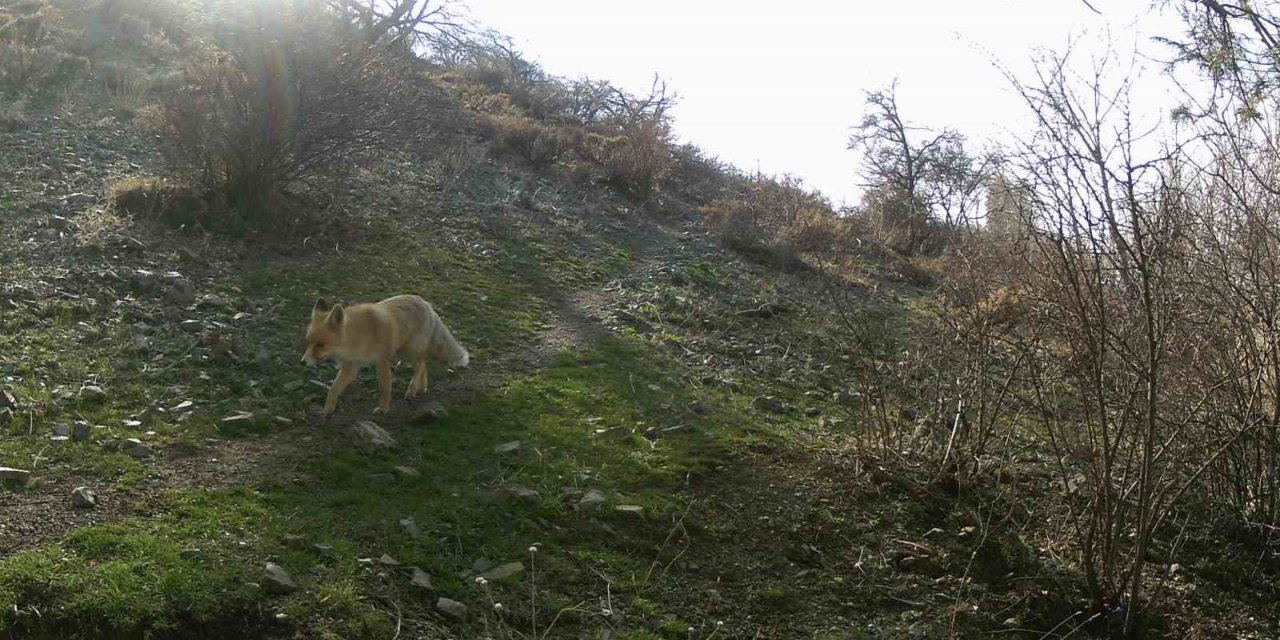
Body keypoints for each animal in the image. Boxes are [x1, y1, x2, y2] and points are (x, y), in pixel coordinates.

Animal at [300, 293, 471, 417]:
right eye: (308, 342)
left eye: (320, 345)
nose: (302, 362)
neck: (358, 338)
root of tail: (426, 304)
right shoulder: (351, 366)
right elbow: (333, 389)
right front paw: (327, 411)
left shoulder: (382, 360)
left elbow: (384, 388)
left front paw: (383, 409)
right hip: (404, 351)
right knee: (424, 365)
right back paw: (421, 387)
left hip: (410, 350)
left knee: (420, 365)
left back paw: (411, 390)